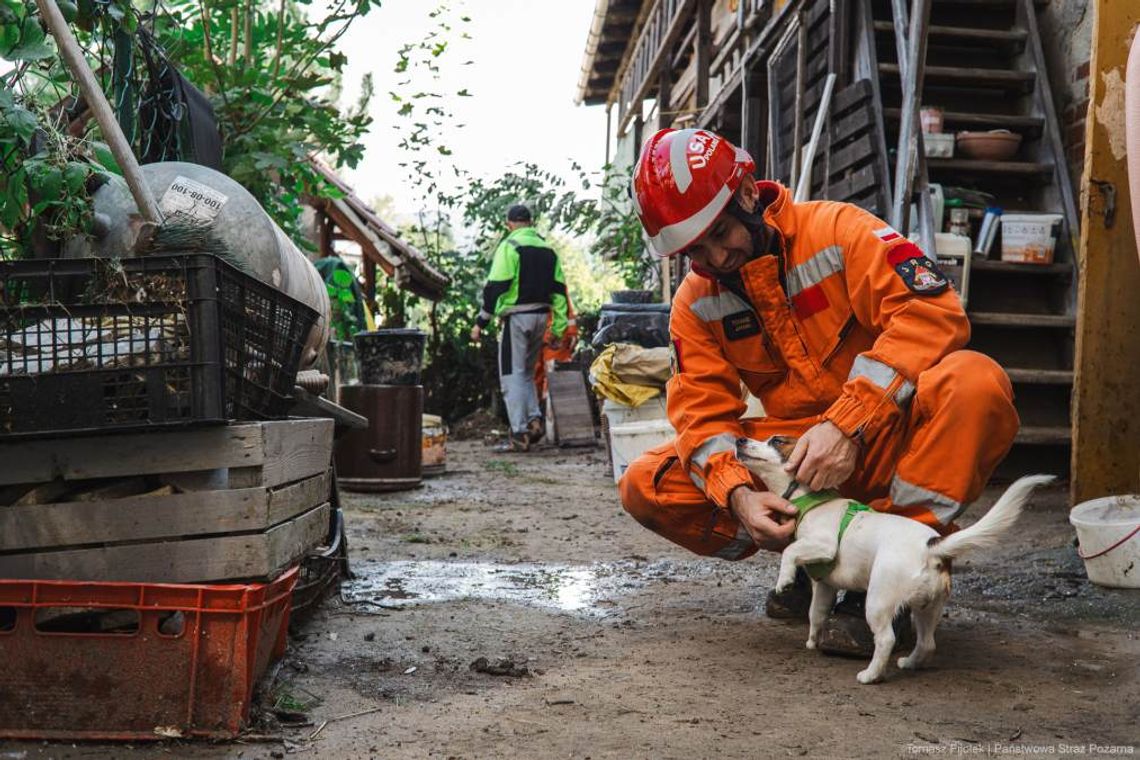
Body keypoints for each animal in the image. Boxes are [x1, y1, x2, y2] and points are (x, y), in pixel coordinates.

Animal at [738, 437, 1048, 688]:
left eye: (777, 441)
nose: (740, 439)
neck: (810, 500)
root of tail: (931, 547)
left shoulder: (824, 546)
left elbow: (790, 551)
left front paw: (784, 579)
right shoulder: (825, 585)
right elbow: (816, 614)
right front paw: (813, 641)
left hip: (878, 600)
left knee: (886, 639)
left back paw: (870, 675)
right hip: (927, 608)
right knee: (927, 643)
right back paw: (909, 663)